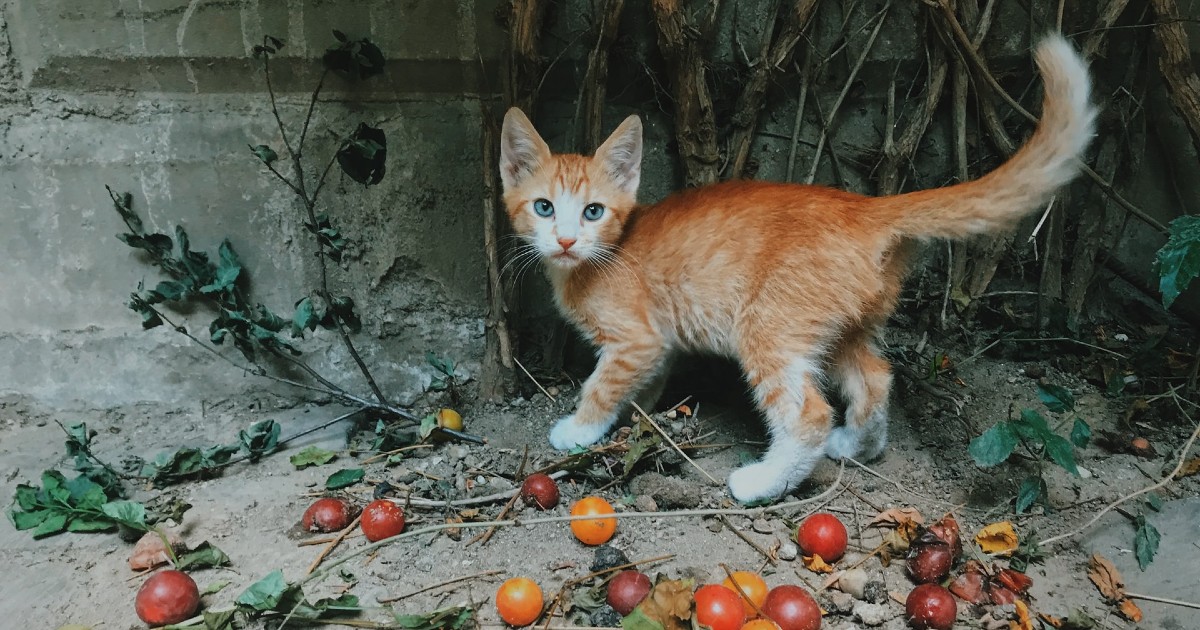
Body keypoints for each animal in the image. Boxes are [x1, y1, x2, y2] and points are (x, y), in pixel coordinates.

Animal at [496, 36, 1099, 504]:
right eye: (544, 208)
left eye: (593, 211)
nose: (566, 239)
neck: (600, 256)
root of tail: (864, 207)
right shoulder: (659, 342)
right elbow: (642, 382)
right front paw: (635, 415)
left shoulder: (636, 339)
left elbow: (601, 383)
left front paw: (579, 429)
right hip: (837, 327)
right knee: (875, 379)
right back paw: (858, 447)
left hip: (768, 326)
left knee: (808, 414)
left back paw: (762, 483)